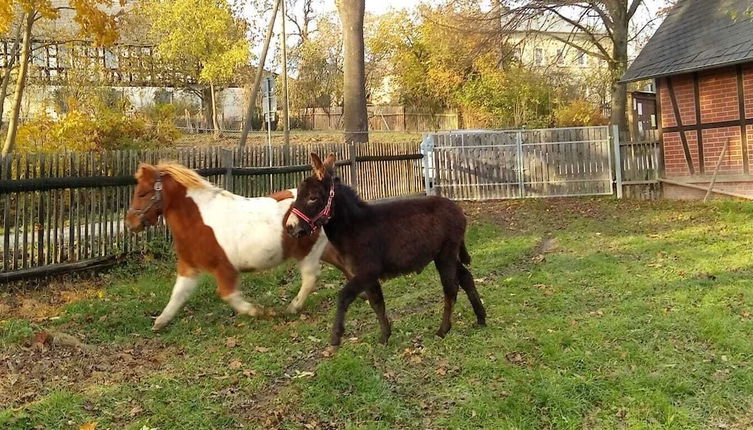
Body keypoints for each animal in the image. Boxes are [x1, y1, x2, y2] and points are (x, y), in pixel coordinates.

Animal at [126, 163, 346, 330]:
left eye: (143, 193)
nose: (130, 222)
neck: (199, 220)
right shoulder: (189, 266)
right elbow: (178, 294)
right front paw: (160, 322)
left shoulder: (225, 269)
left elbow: (227, 294)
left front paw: (258, 311)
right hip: (324, 250)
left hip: (308, 253)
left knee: (310, 278)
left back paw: (293, 307)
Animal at [284, 153, 488, 348]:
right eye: (298, 195)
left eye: (312, 198)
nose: (290, 227)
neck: (353, 227)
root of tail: (457, 209)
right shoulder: (366, 276)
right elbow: (377, 303)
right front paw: (384, 337)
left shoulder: (367, 272)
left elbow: (344, 297)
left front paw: (336, 338)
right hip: (444, 255)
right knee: (466, 278)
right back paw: (481, 318)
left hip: (446, 255)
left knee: (451, 289)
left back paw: (443, 330)